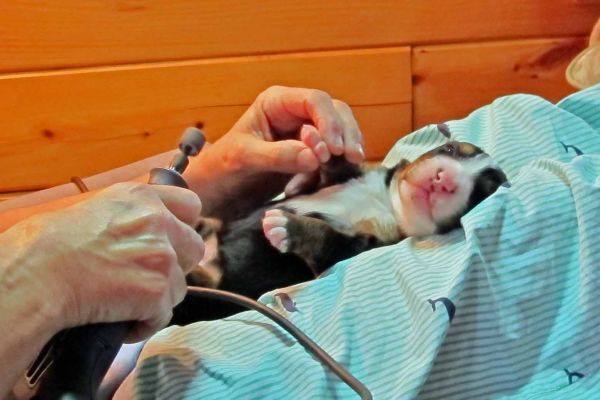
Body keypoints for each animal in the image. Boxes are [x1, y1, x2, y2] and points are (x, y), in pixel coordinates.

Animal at [171, 142, 508, 324]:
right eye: (448, 149)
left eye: (480, 193)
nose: (443, 179)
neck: (386, 203)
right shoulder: (344, 178)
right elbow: (338, 167)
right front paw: (326, 147)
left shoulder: (357, 248)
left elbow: (327, 238)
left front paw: (287, 228)